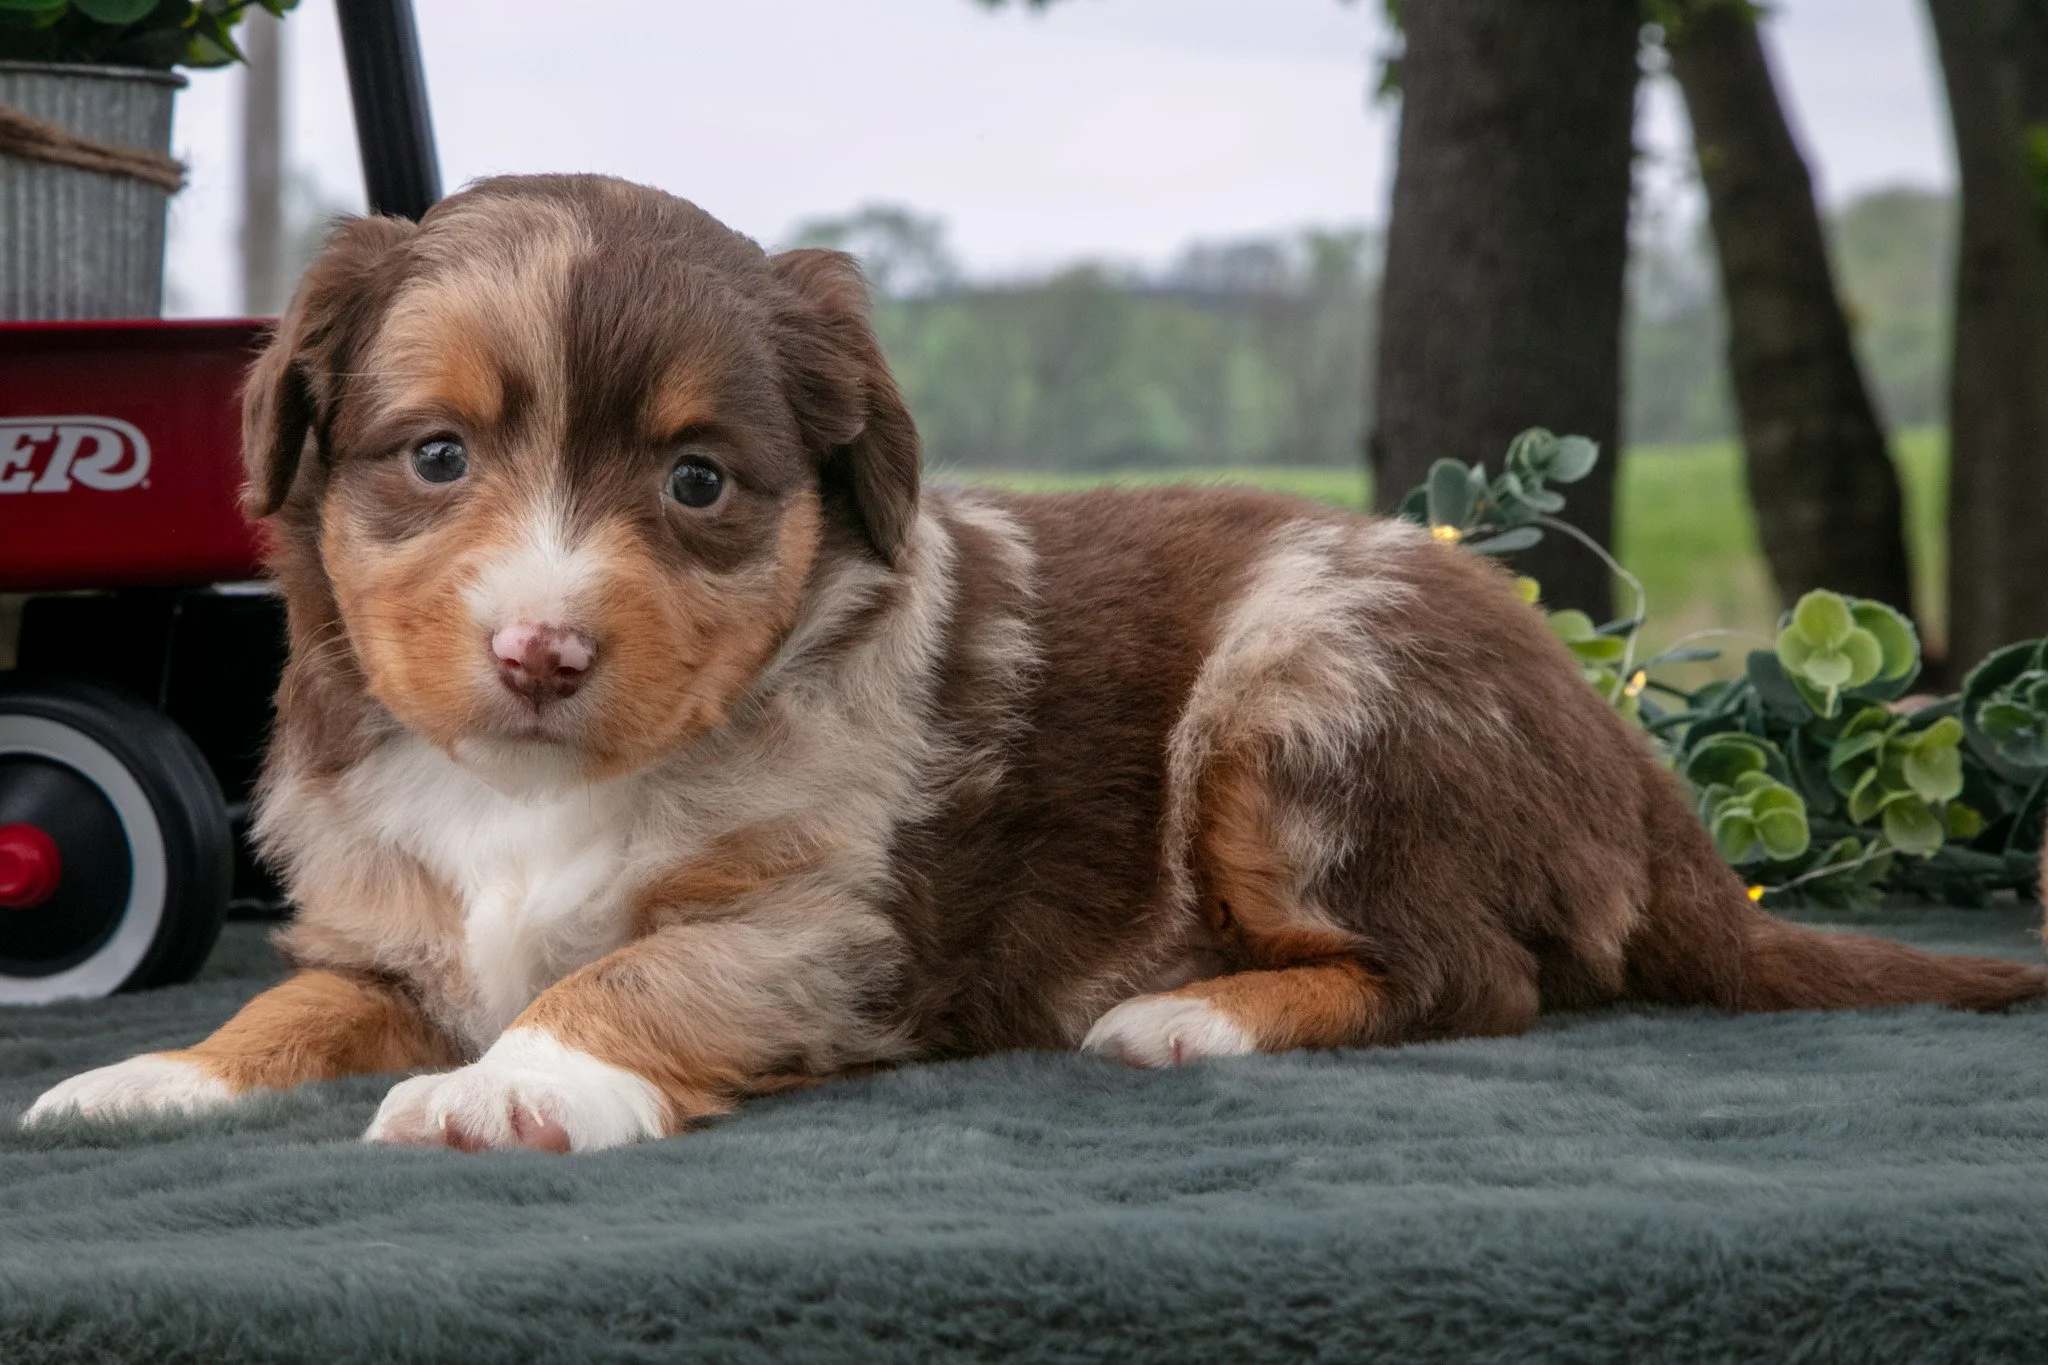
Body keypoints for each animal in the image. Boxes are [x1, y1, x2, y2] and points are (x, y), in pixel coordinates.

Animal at [23, 175, 2048, 1151]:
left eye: (697, 482)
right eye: (435, 456)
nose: (536, 649)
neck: (542, 785)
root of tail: (1621, 748)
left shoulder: (819, 923)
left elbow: (638, 974)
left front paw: (512, 1085)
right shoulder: (385, 930)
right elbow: (289, 1008)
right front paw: (156, 1078)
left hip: (1302, 697)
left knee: (1473, 976)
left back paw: (1188, 1016)